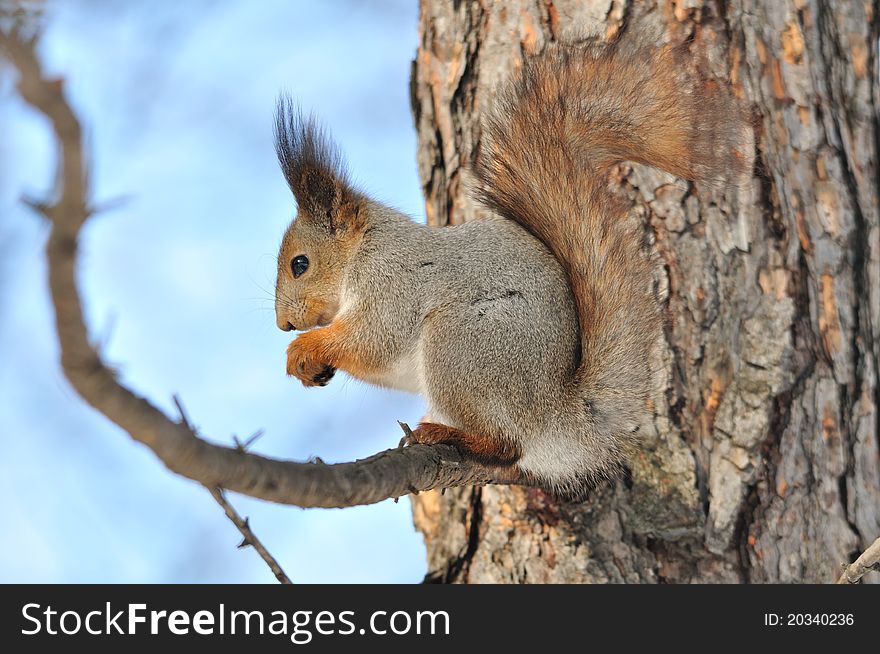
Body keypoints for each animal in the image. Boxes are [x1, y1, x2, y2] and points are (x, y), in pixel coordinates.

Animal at [274, 38, 748, 494]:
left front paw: (304, 349)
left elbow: (375, 340)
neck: (363, 252)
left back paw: (447, 435)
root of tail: (557, 416)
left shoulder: (393, 283)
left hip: (462, 344)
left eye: (300, 264)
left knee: (506, 445)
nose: (283, 325)